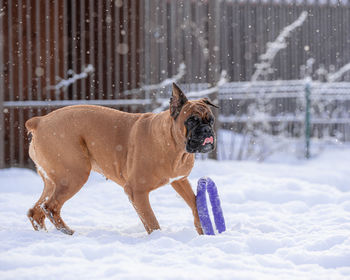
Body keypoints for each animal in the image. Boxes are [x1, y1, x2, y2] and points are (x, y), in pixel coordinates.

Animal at [26, 82, 217, 234]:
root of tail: (40, 121)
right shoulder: (137, 192)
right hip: (74, 175)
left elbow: (195, 203)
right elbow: (151, 220)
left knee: (36, 211)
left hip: (54, 181)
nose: (207, 130)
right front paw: (157, 237)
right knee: (50, 207)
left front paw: (201, 226)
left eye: (211, 120)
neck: (175, 146)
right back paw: (68, 232)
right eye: (191, 120)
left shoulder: (179, 180)